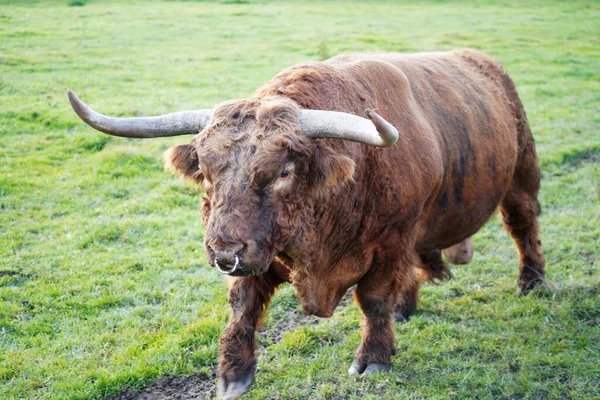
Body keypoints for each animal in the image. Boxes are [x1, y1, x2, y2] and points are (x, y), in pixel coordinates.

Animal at [68, 48, 548, 398]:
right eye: (204, 169)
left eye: (283, 171)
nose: (223, 252)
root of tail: (484, 63)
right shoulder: (258, 254)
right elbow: (242, 307)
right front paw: (233, 374)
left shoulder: (390, 241)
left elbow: (374, 299)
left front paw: (374, 358)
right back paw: (407, 306)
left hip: (522, 172)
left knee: (524, 226)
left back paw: (533, 283)